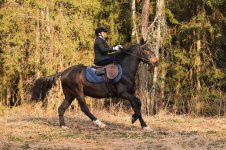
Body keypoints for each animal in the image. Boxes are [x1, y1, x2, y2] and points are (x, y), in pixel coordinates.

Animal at [30, 39, 158, 130]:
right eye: (146, 50)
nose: (156, 62)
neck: (126, 70)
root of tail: (65, 72)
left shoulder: (130, 93)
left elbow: (137, 106)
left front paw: (144, 126)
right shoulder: (123, 93)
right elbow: (139, 102)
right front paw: (133, 118)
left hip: (70, 95)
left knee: (61, 108)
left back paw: (63, 126)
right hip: (78, 92)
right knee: (84, 108)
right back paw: (100, 124)